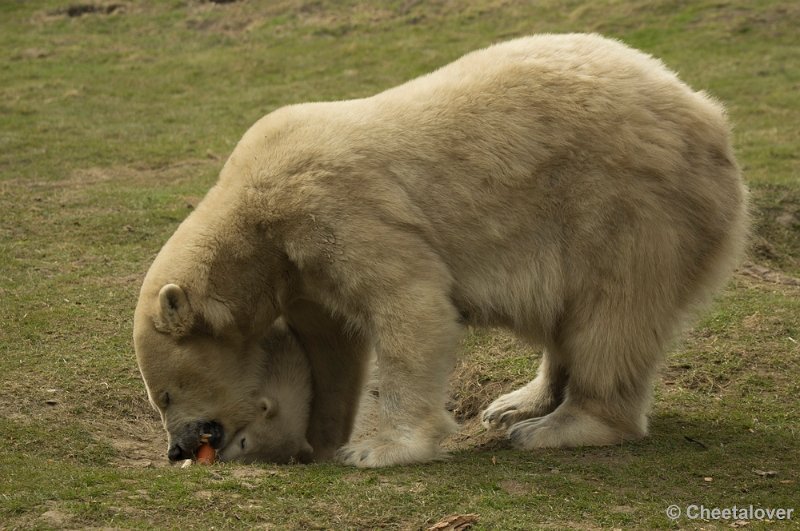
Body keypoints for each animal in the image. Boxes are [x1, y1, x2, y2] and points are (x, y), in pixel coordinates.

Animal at [133, 33, 752, 468]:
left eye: (164, 394)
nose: (177, 448)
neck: (253, 217)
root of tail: (711, 118)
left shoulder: (337, 210)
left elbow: (412, 307)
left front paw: (377, 449)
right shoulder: (301, 268)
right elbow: (333, 347)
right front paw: (323, 438)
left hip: (627, 209)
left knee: (613, 317)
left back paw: (555, 427)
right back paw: (517, 403)